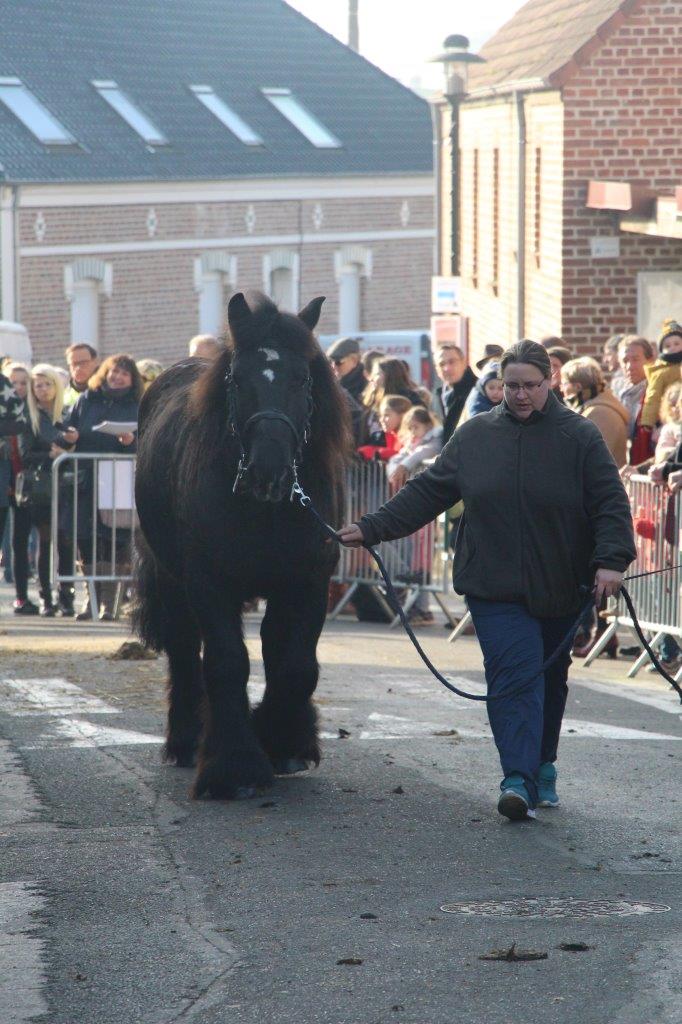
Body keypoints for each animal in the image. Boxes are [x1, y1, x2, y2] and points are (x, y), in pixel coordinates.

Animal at [133, 290, 350, 798]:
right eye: (238, 378)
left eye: (302, 377)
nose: (269, 470)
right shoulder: (210, 583)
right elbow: (227, 663)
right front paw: (234, 767)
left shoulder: (308, 580)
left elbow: (296, 665)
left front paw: (285, 743)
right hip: (172, 580)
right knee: (184, 650)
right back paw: (188, 740)